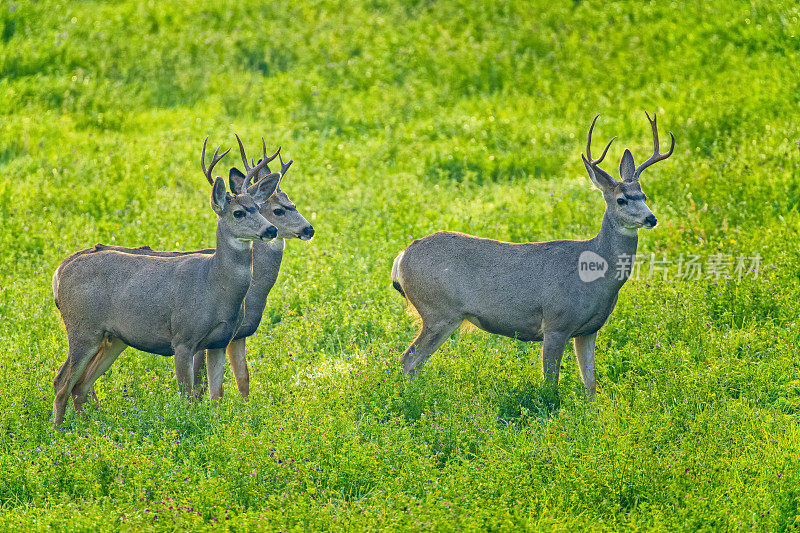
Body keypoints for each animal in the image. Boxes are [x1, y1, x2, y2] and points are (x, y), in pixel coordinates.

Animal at [51, 138, 278, 424]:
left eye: (258, 208)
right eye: (238, 213)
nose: (271, 229)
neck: (215, 287)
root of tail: (59, 272)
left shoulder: (220, 341)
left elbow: (216, 396)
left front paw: (216, 427)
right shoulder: (182, 338)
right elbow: (188, 397)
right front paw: (189, 426)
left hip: (113, 338)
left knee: (79, 385)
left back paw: (86, 428)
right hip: (82, 327)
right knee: (62, 382)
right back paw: (59, 431)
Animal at [390, 112, 672, 394]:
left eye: (644, 195)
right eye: (621, 200)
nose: (651, 218)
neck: (594, 274)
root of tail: (401, 256)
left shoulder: (589, 329)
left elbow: (591, 383)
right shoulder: (556, 323)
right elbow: (550, 385)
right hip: (439, 311)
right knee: (408, 359)